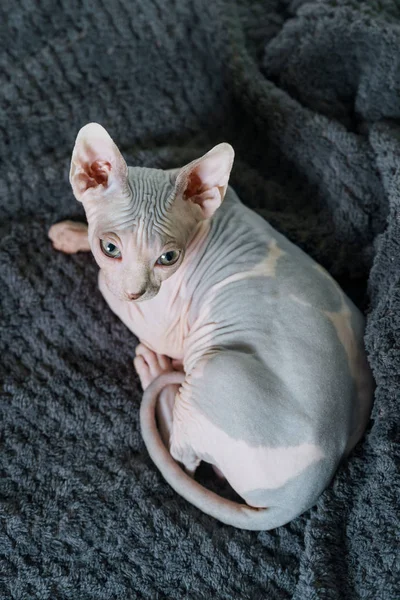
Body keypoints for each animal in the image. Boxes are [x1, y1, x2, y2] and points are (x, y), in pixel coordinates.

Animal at [48, 123, 374, 528]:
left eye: (168, 258)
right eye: (111, 247)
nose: (137, 291)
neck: (209, 222)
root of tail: (308, 491)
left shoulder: (164, 318)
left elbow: (104, 284)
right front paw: (73, 233)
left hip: (214, 369)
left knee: (183, 457)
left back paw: (156, 370)